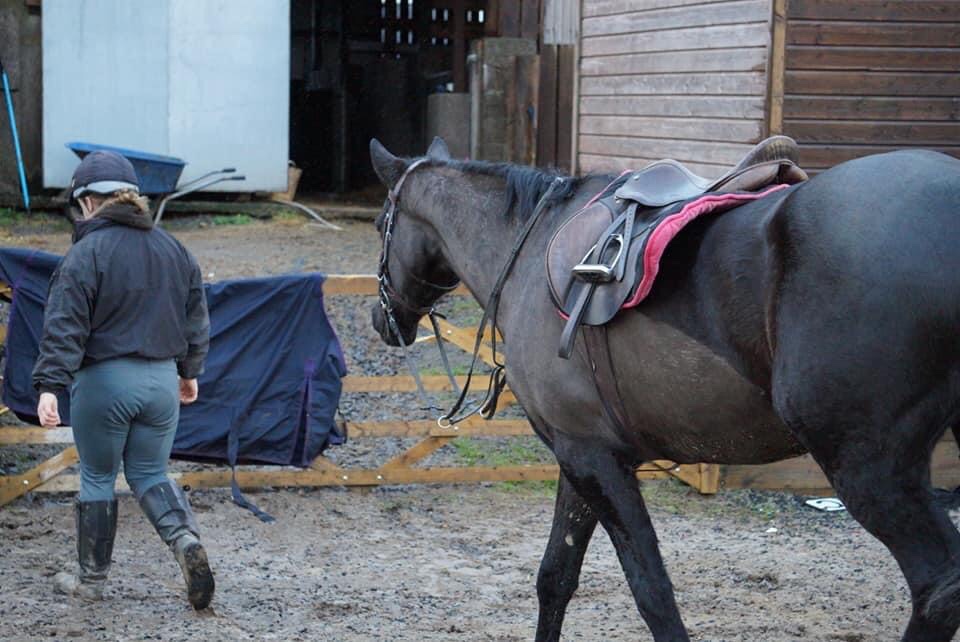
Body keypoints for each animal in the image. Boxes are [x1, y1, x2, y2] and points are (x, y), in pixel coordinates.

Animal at [369, 136, 960, 641]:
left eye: (380, 225)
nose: (383, 320)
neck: (530, 252)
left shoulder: (596, 463)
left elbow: (652, 593)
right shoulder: (580, 456)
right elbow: (555, 578)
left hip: (867, 467)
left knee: (937, 589)